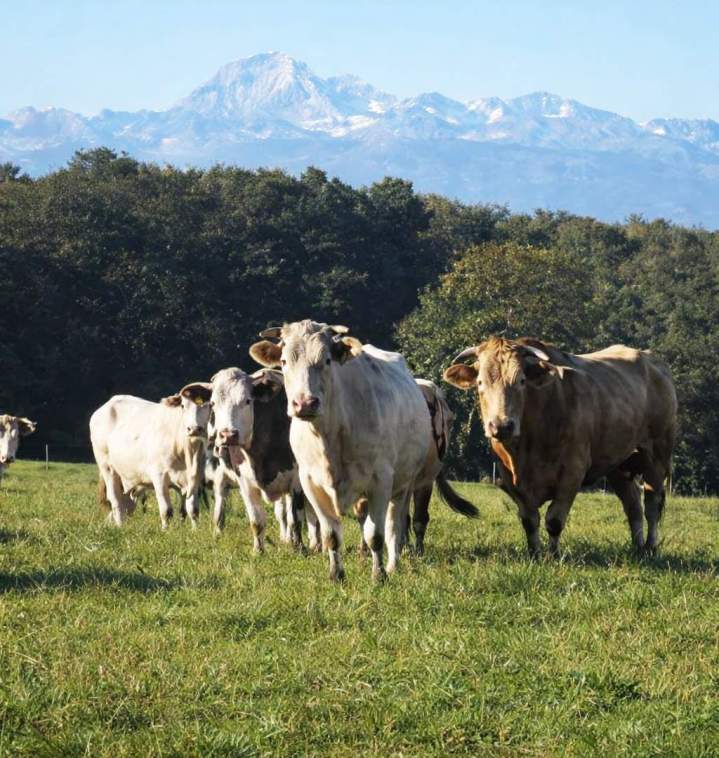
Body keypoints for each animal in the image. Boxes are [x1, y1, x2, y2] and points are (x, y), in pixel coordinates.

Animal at [90, 384, 212, 529]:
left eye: (208, 405)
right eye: (183, 406)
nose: (193, 428)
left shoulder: (195, 479)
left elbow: (193, 510)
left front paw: (194, 530)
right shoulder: (159, 476)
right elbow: (166, 511)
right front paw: (166, 531)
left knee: (126, 503)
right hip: (107, 468)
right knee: (116, 501)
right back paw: (120, 527)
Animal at [206, 367, 320, 552]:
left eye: (247, 400)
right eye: (213, 403)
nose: (228, 435)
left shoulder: (296, 480)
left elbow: (296, 518)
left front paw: (299, 549)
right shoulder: (243, 482)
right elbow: (256, 520)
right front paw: (258, 551)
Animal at [250, 320, 478, 582]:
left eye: (327, 360)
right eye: (285, 361)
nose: (305, 403)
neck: (330, 436)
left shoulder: (380, 481)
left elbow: (376, 535)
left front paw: (379, 575)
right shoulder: (310, 483)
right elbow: (330, 535)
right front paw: (336, 574)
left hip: (412, 482)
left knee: (399, 524)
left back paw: (394, 563)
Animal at [443, 336, 677, 557]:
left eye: (521, 381)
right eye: (480, 382)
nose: (501, 426)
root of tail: (652, 360)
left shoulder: (572, 473)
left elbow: (554, 520)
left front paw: (552, 555)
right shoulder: (509, 477)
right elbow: (529, 520)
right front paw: (534, 553)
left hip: (657, 456)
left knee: (652, 505)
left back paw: (649, 547)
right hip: (619, 464)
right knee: (633, 506)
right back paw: (637, 547)